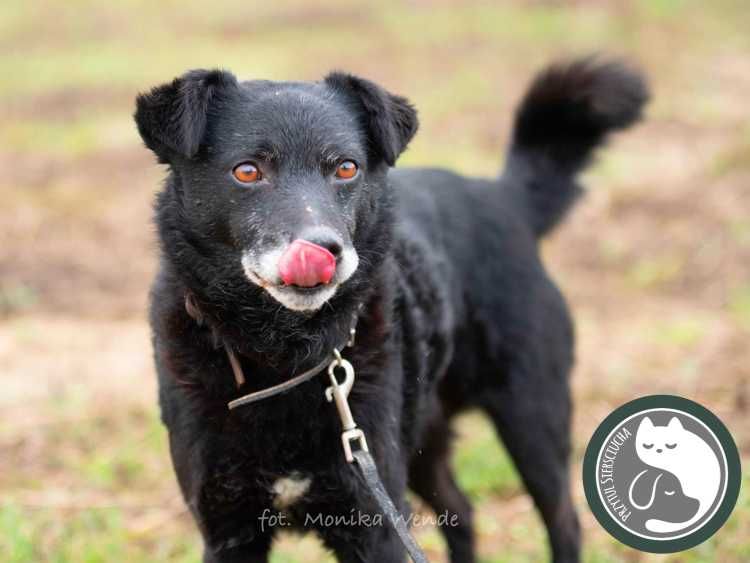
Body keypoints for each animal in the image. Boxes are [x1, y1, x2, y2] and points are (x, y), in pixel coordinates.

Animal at [137, 59, 652, 560]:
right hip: (422, 438)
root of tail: (504, 197)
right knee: (461, 510)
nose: (323, 249)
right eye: (247, 172)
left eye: (347, 168)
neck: (284, 357)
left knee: (563, 521)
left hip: (530, 417)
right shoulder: (228, 529)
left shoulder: (375, 523)